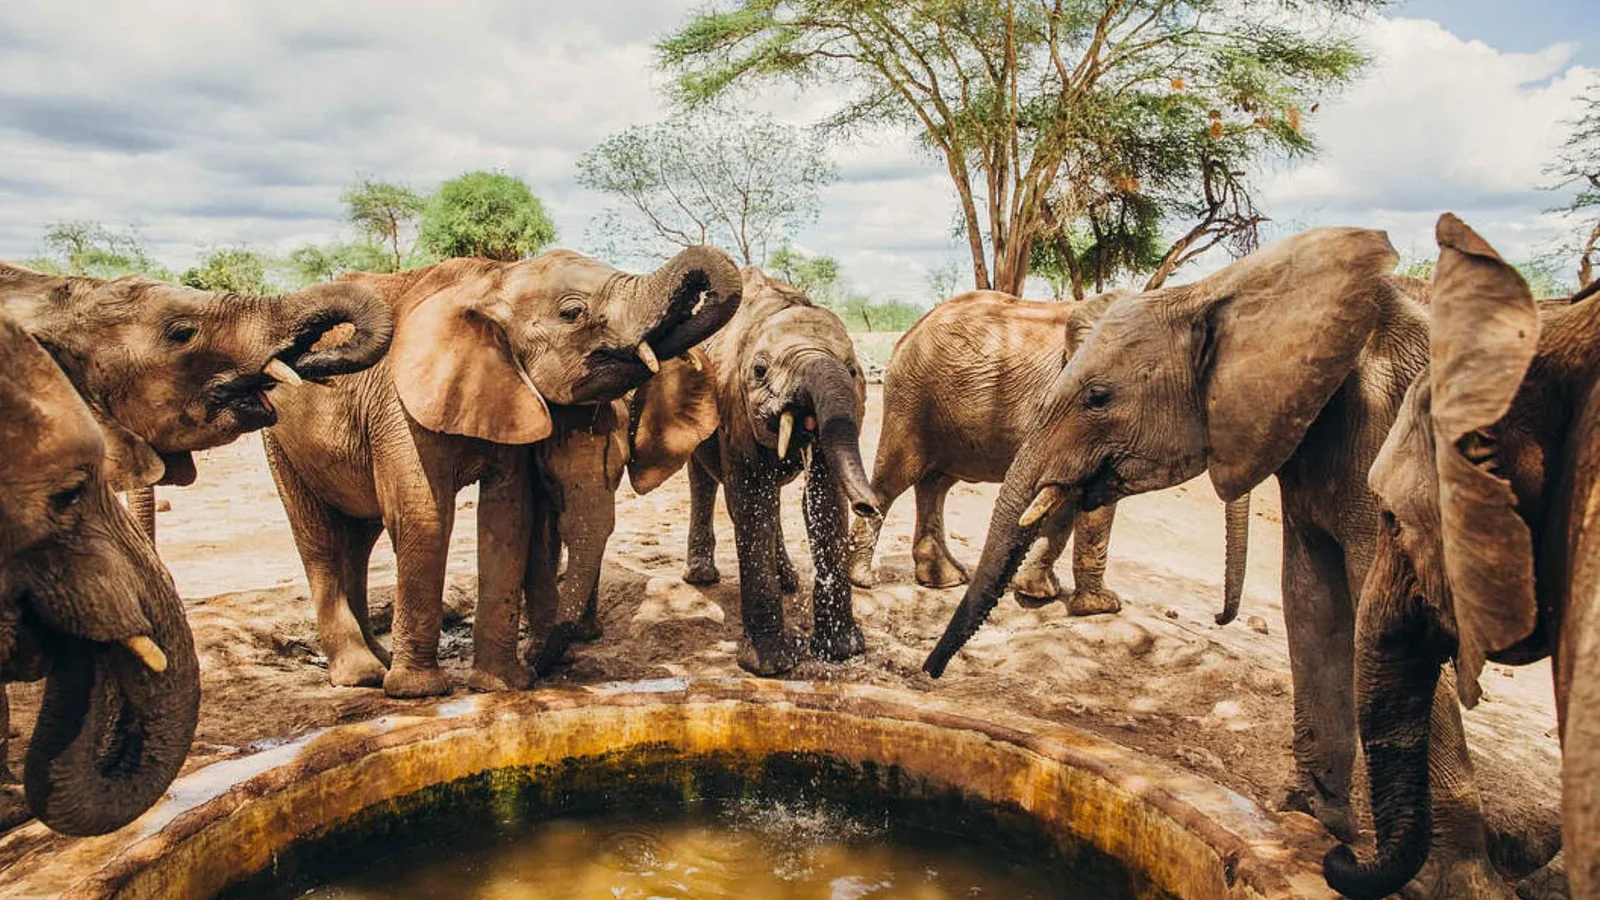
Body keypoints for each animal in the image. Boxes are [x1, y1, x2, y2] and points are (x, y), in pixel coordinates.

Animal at [262, 247, 743, 698]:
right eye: (573, 312)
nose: (312, 360)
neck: (493, 281)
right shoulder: (399, 403)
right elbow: (425, 517)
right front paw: (421, 691)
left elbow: (508, 519)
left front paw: (502, 684)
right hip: (278, 442)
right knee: (320, 542)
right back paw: (361, 675)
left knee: (360, 538)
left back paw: (378, 661)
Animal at [627, 267, 879, 675]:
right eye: (759, 371)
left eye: (853, 370)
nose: (868, 507)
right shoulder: (734, 405)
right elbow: (750, 500)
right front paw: (770, 666)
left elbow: (825, 502)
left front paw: (841, 651)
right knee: (706, 483)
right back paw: (703, 576)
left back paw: (788, 580)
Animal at [846, 289, 1251, 621]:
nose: (1218, 618)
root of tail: (909, 332)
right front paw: (1102, 607)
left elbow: (1068, 497)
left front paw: (1040, 591)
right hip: (910, 396)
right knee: (896, 478)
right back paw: (863, 579)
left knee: (936, 484)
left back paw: (945, 580)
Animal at [919, 227, 1514, 897]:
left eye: (1098, 397)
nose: (929, 673)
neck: (1224, 290)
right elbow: (1310, 598)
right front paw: (1310, 821)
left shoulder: (1386, 435)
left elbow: (1374, 611)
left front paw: (1434, 876)